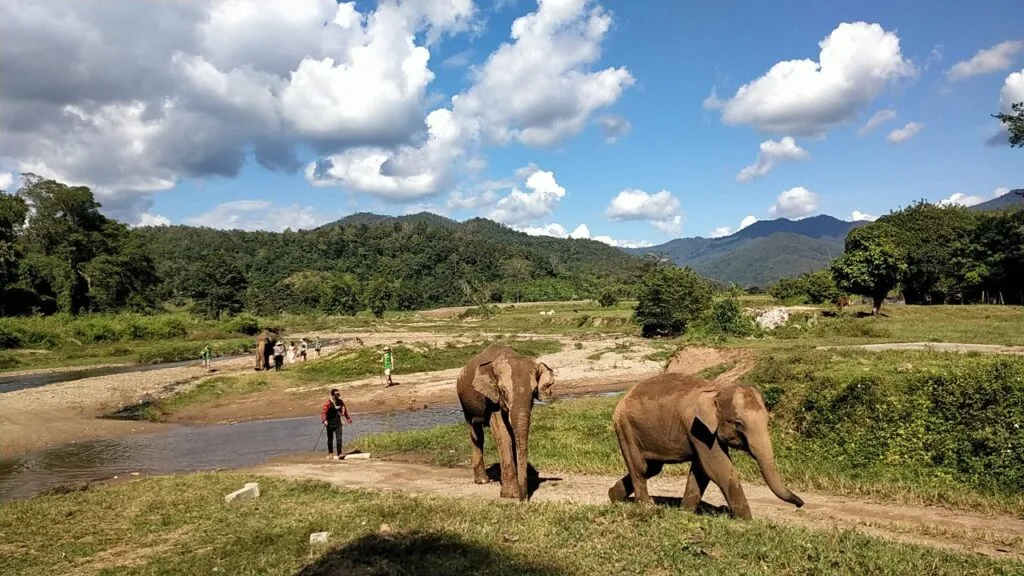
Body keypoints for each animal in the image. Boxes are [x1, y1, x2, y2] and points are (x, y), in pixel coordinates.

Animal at [456, 342, 557, 500]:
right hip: (465, 404)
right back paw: (482, 481)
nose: (524, 499)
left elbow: (513, 434)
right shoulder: (493, 399)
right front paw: (511, 495)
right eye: (503, 391)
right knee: (476, 434)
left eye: (534, 391)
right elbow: (503, 432)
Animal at [602, 368, 802, 518]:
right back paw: (646, 507)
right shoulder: (696, 426)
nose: (800, 503)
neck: (718, 389)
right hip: (625, 427)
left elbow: (701, 470)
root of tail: (625, 395)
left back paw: (614, 497)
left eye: (767, 421)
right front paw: (748, 521)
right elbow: (718, 468)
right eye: (738, 424)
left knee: (652, 468)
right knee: (640, 467)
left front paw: (685, 512)